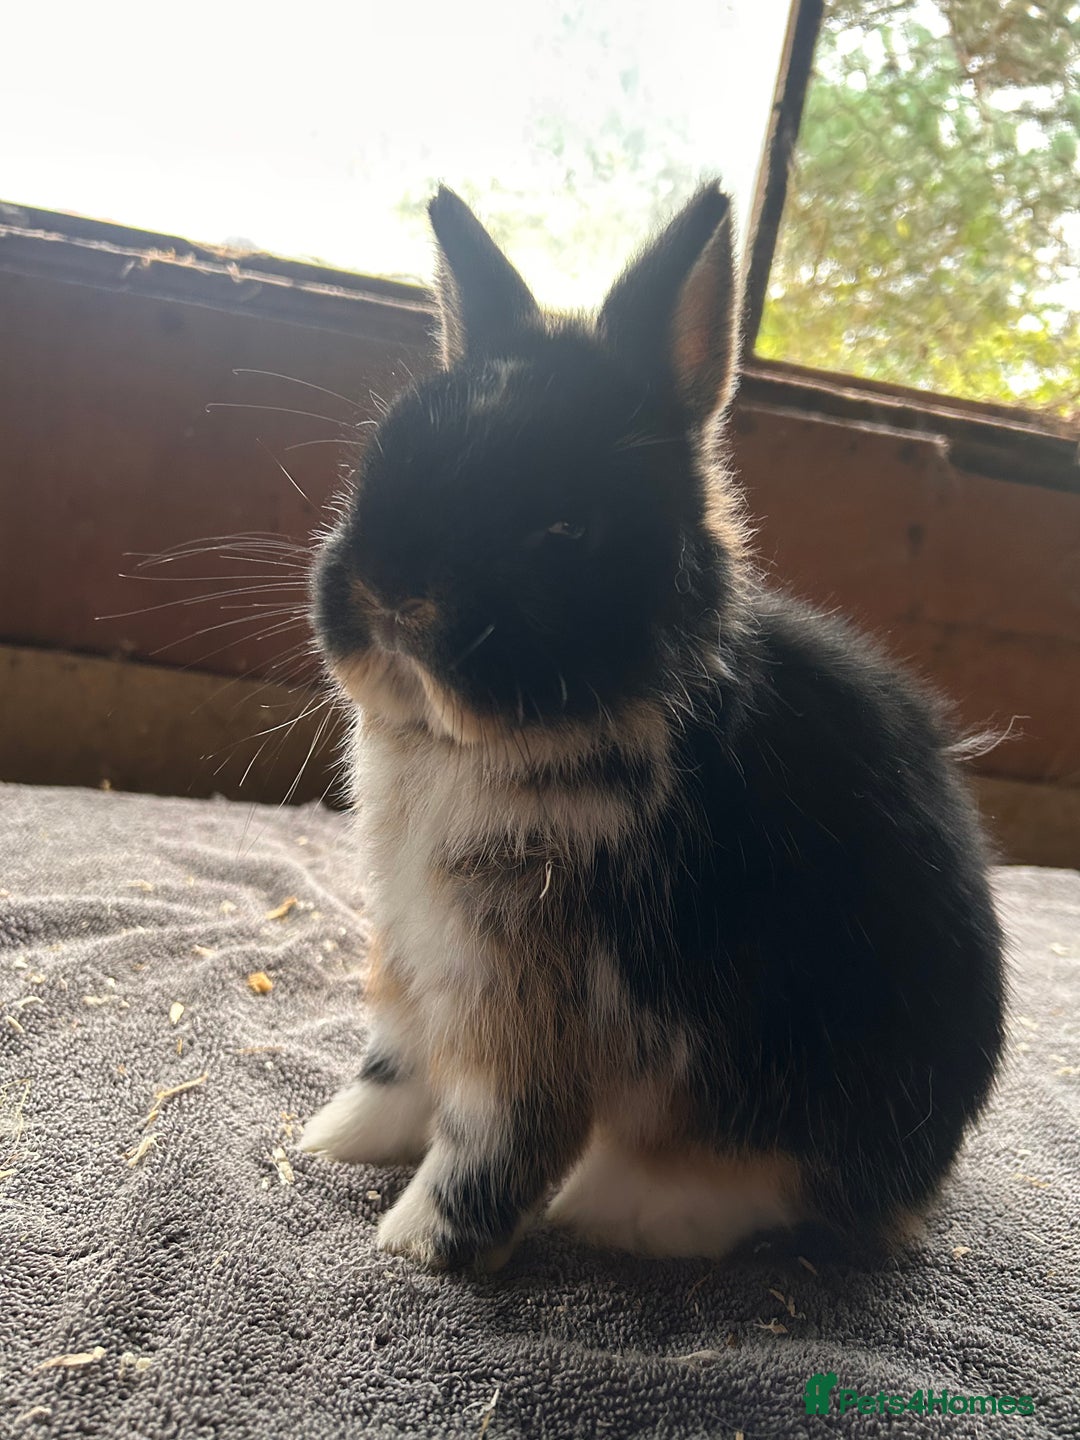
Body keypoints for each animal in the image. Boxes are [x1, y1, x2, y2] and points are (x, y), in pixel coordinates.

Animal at [299, 183, 1005, 1270]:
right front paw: (331, 1143)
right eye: (382, 459)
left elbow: (497, 1134)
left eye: (565, 528)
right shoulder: (417, 961)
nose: (390, 593)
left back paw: (619, 1210)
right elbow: (396, 1067)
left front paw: (419, 1245)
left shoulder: (536, 996)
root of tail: (911, 1192)